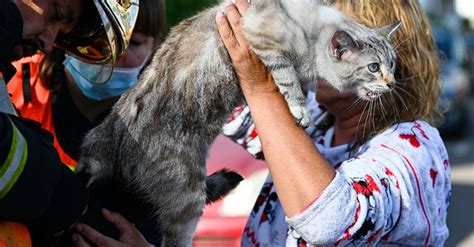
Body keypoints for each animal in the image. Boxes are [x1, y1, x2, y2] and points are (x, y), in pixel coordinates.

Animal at [77, 0, 400, 245]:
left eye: (392, 64)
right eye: (373, 67)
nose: (393, 83)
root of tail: (110, 142)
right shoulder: (265, 41)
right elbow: (288, 79)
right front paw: (300, 110)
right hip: (187, 200)